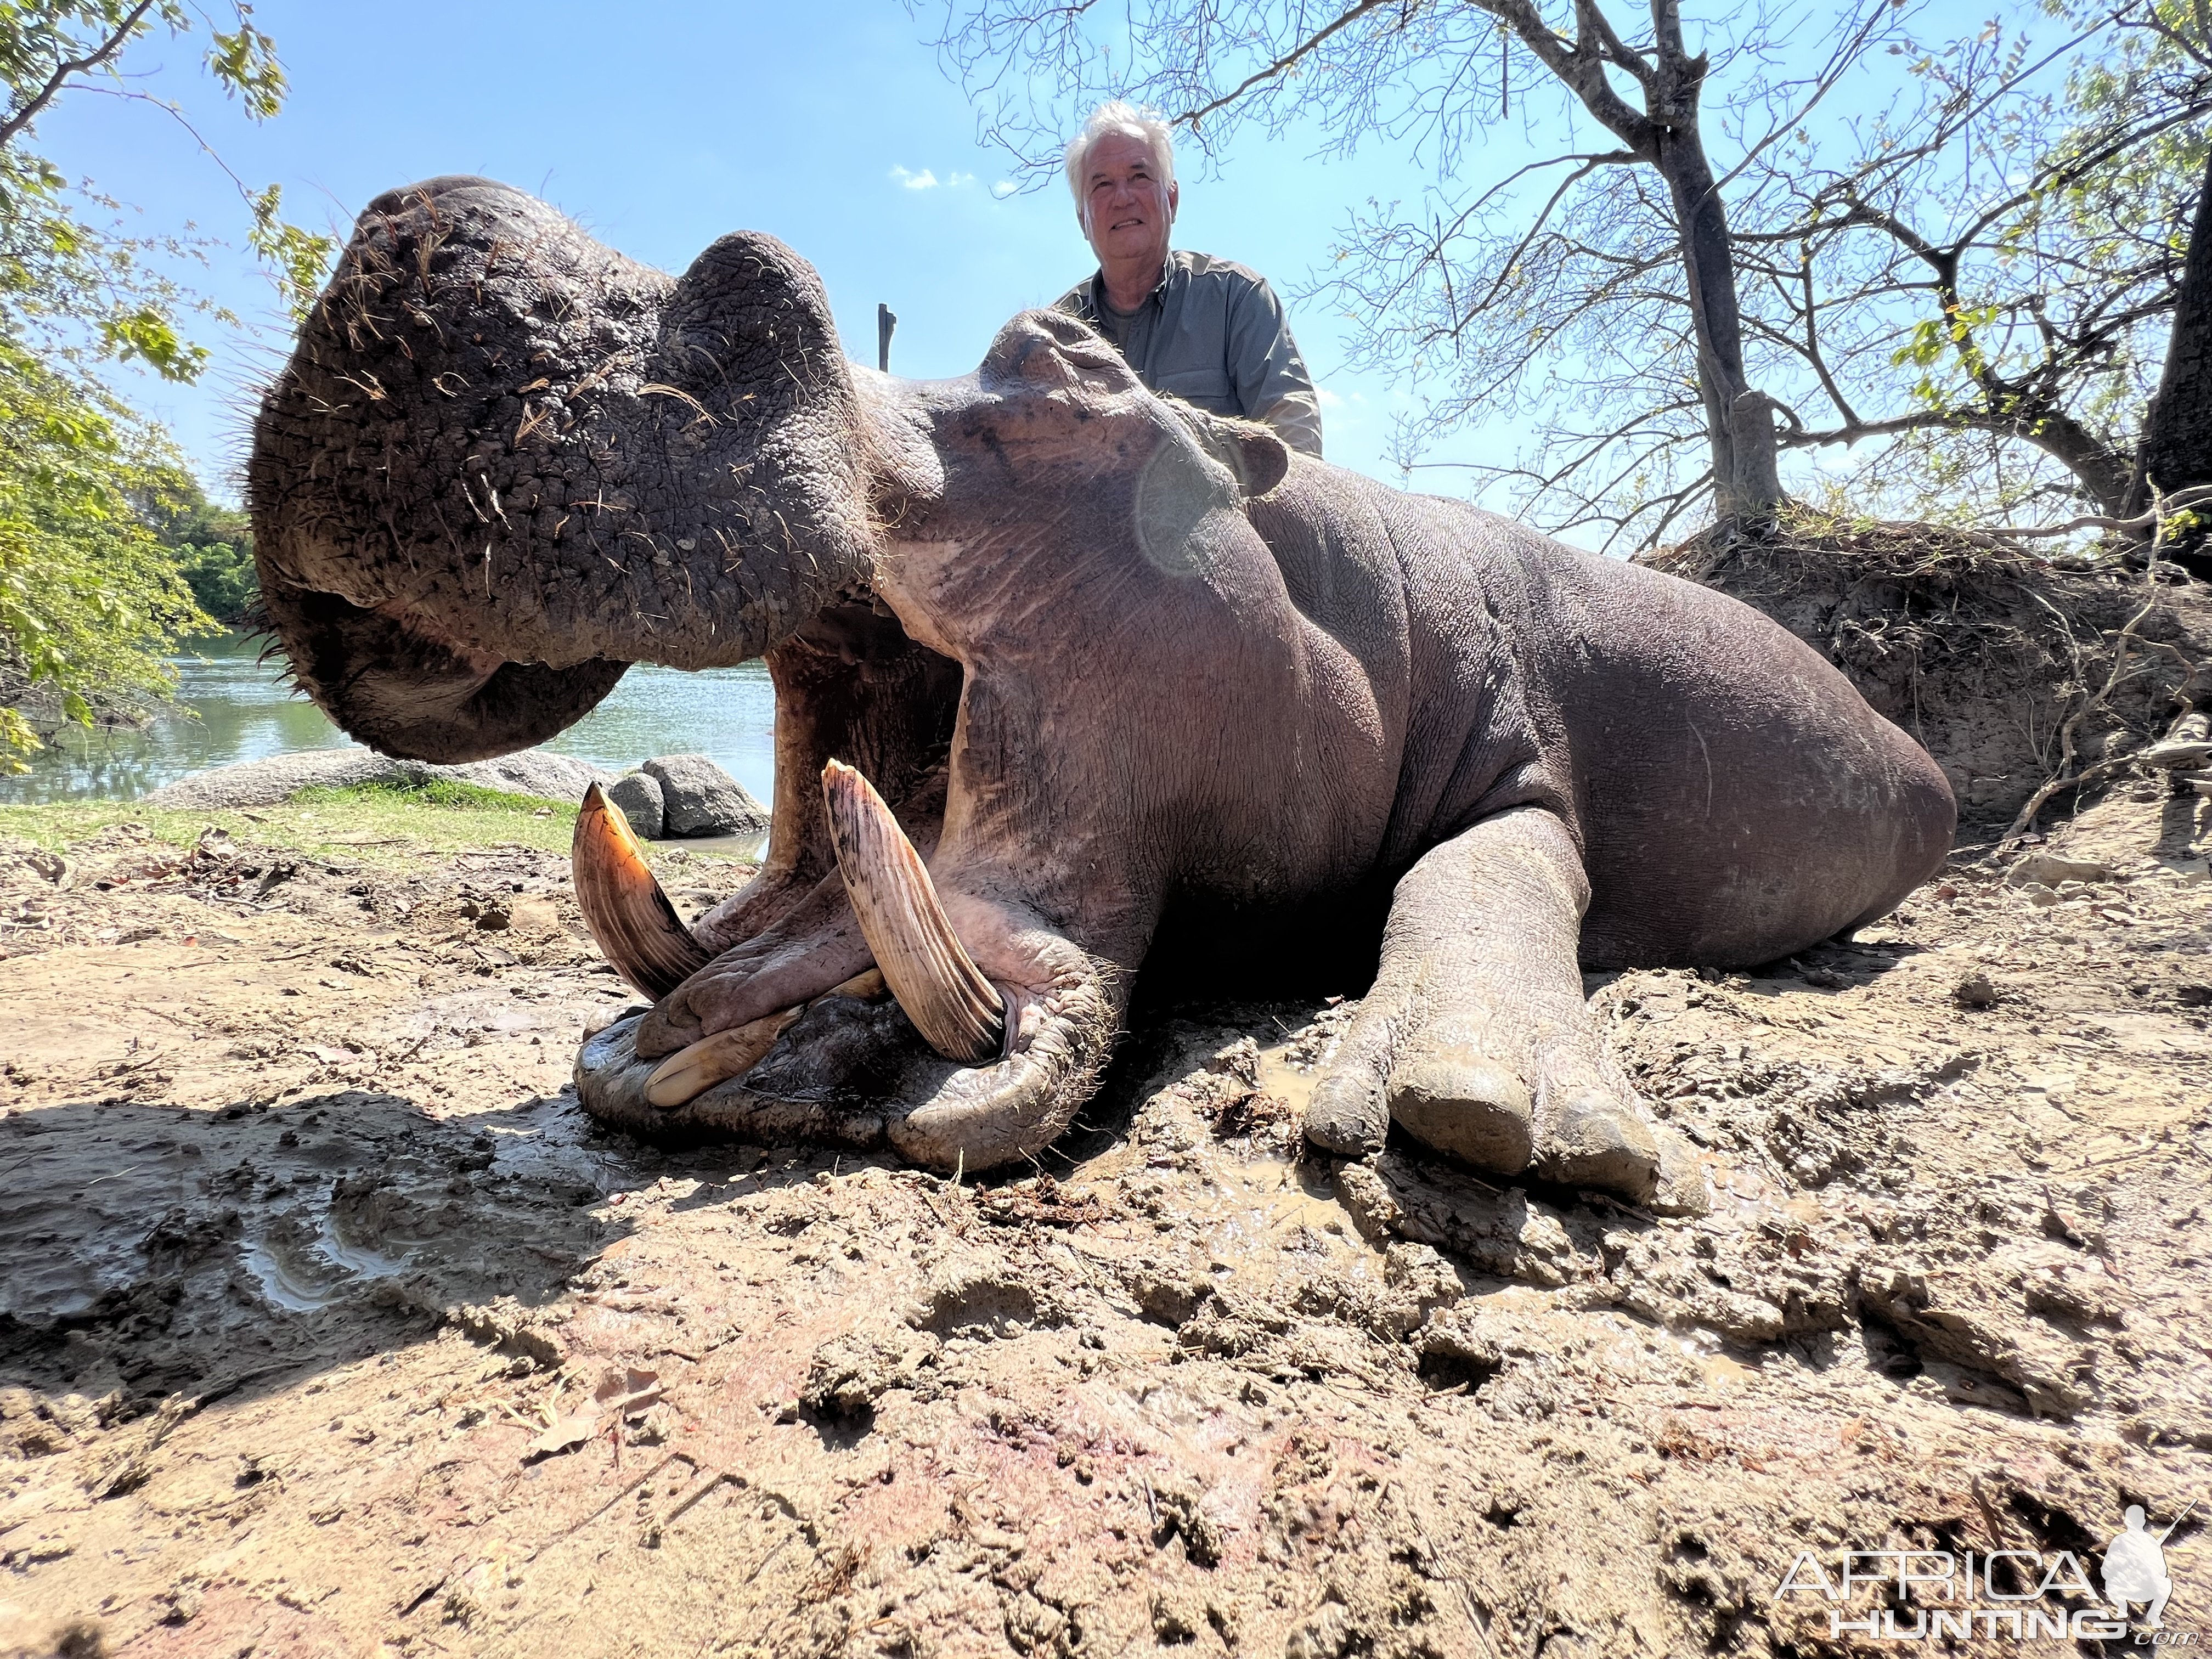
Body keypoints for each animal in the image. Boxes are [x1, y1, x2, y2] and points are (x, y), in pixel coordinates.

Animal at [246, 176, 1955, 1203]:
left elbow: (1489, 877)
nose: (460, 232)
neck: (1333, 584)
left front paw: (1478, 1111)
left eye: (1060, 369)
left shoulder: (1517, 761)